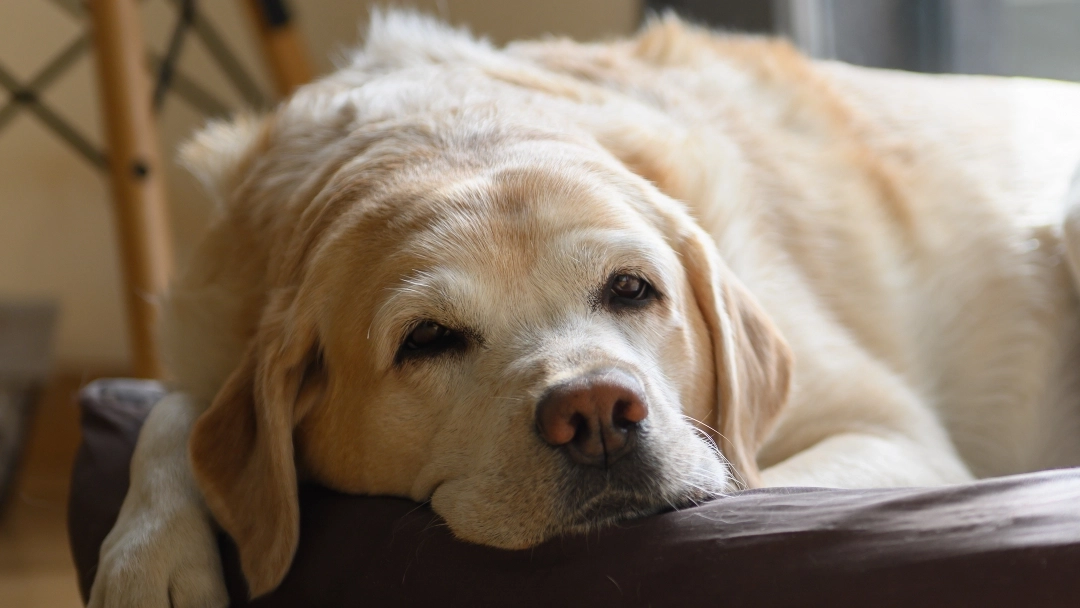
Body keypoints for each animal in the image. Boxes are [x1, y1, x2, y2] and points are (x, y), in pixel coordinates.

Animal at [88, 10, 1080, 608]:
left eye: (632, 289)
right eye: (427, 339)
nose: (597, 412)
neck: (452, 128)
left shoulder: (890, 431)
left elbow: (746, 480)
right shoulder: (209, 340)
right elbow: (174, 416)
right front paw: (149, 561)